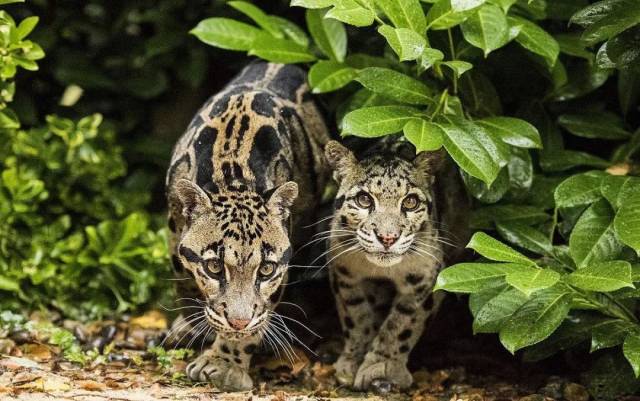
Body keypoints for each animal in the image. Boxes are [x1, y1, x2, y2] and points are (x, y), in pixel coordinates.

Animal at [165, 63, 330, 390]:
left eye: (265, 270)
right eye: (214, 267)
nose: (238, 322)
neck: (234, 175)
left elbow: (262, 308)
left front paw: (224, 363)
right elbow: (185, 279)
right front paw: (194, 323)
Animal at [324, 139, 470, 390]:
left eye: (410, 202)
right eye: (364, 200)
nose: (388, 237)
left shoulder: (427, 276)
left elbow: (401, 324)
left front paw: (381, 367)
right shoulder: (343, 271)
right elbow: (355, 315)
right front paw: (352, 360)